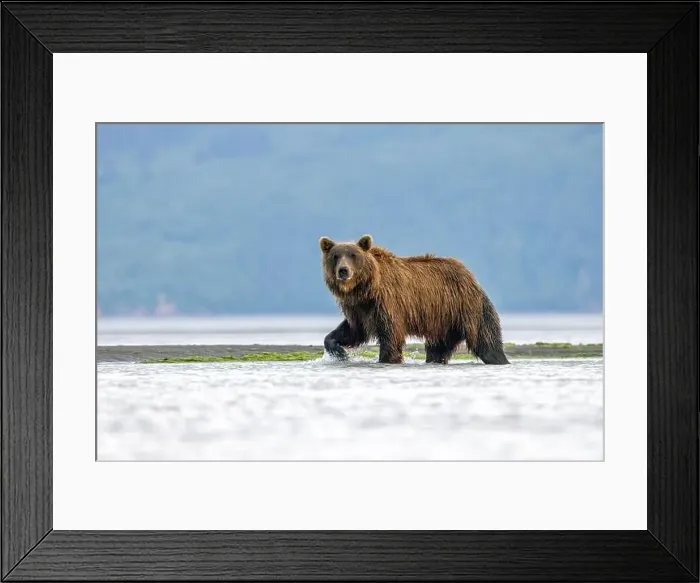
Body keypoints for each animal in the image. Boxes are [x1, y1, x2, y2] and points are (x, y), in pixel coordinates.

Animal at [319, 234, 509, 365]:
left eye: (353, 255)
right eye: (336, 256)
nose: (343, 270)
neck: (366, 289)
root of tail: (470, 274)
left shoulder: (387, 303)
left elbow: (390, 335)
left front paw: (387, 359)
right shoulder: (358, 309)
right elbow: (352, 331)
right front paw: (340, 353)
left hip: (467, 308)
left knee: (486, 341)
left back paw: (499, 359)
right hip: (444, 322)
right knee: (438, 348)